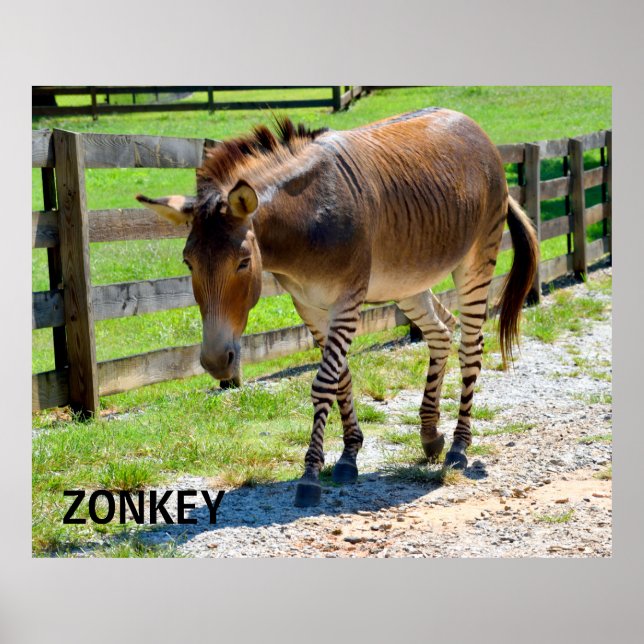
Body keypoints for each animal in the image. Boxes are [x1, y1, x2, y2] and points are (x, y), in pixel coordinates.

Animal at [137, 107, 539, 507]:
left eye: (242, 263)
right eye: (188, 262)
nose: (216, 362)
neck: (308, 219)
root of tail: (469, 122)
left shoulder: (348, 298)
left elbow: (324, 381)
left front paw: (311, 475)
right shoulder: (309, 306)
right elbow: (342, 377)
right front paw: (349, 455)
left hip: (476, 260)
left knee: (471, 346)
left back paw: (458, 446)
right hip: (407, 279)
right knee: (440, 331)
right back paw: (429, 434)